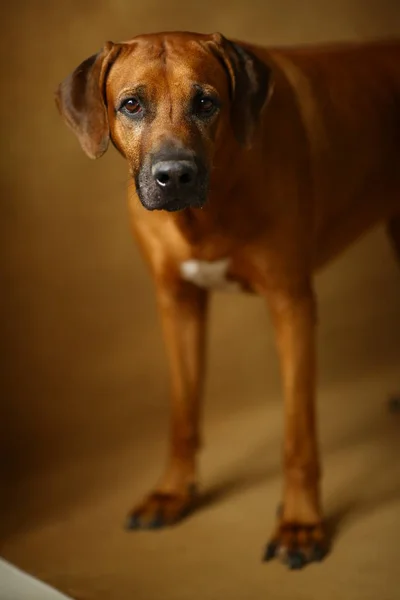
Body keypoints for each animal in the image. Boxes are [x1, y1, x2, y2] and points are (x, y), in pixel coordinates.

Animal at [54, 31, 400, 568]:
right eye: (131, 104)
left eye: (206, 102)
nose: (174, 175)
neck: (210, 207)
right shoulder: (177, 303)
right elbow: (182, 415)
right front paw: (172, 494)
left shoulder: (292, 304)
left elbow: (298, 435)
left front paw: (301, 523)